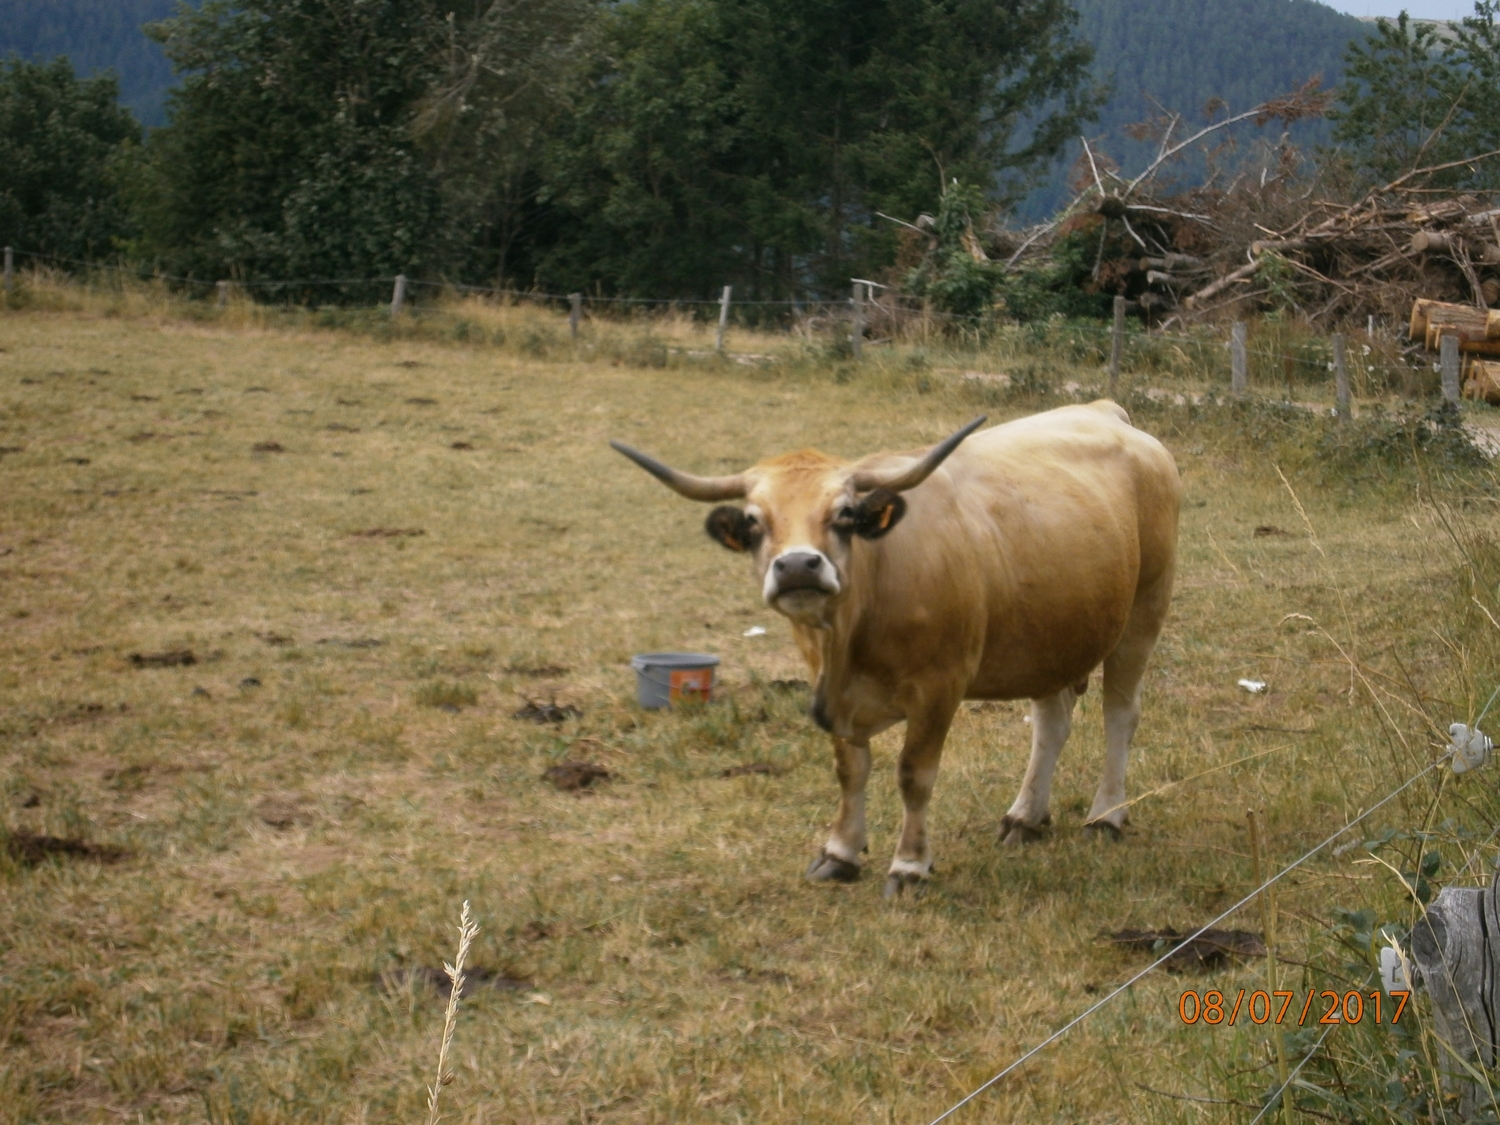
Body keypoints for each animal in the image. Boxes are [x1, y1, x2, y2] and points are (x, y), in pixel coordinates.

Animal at [611, 401, 1180, 896]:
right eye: (753, 520)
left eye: (844, 512)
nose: (797, 566)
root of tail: (1107, 412)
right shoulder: (830, 693)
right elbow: (850, 769)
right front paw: (839, 853)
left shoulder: (939, 688)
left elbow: (913, 775)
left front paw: (909, 866)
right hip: (1052, 635)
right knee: (1052, 722)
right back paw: (1026, 817)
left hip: (1143, 613)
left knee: (1119, 714)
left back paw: (1106, 816)